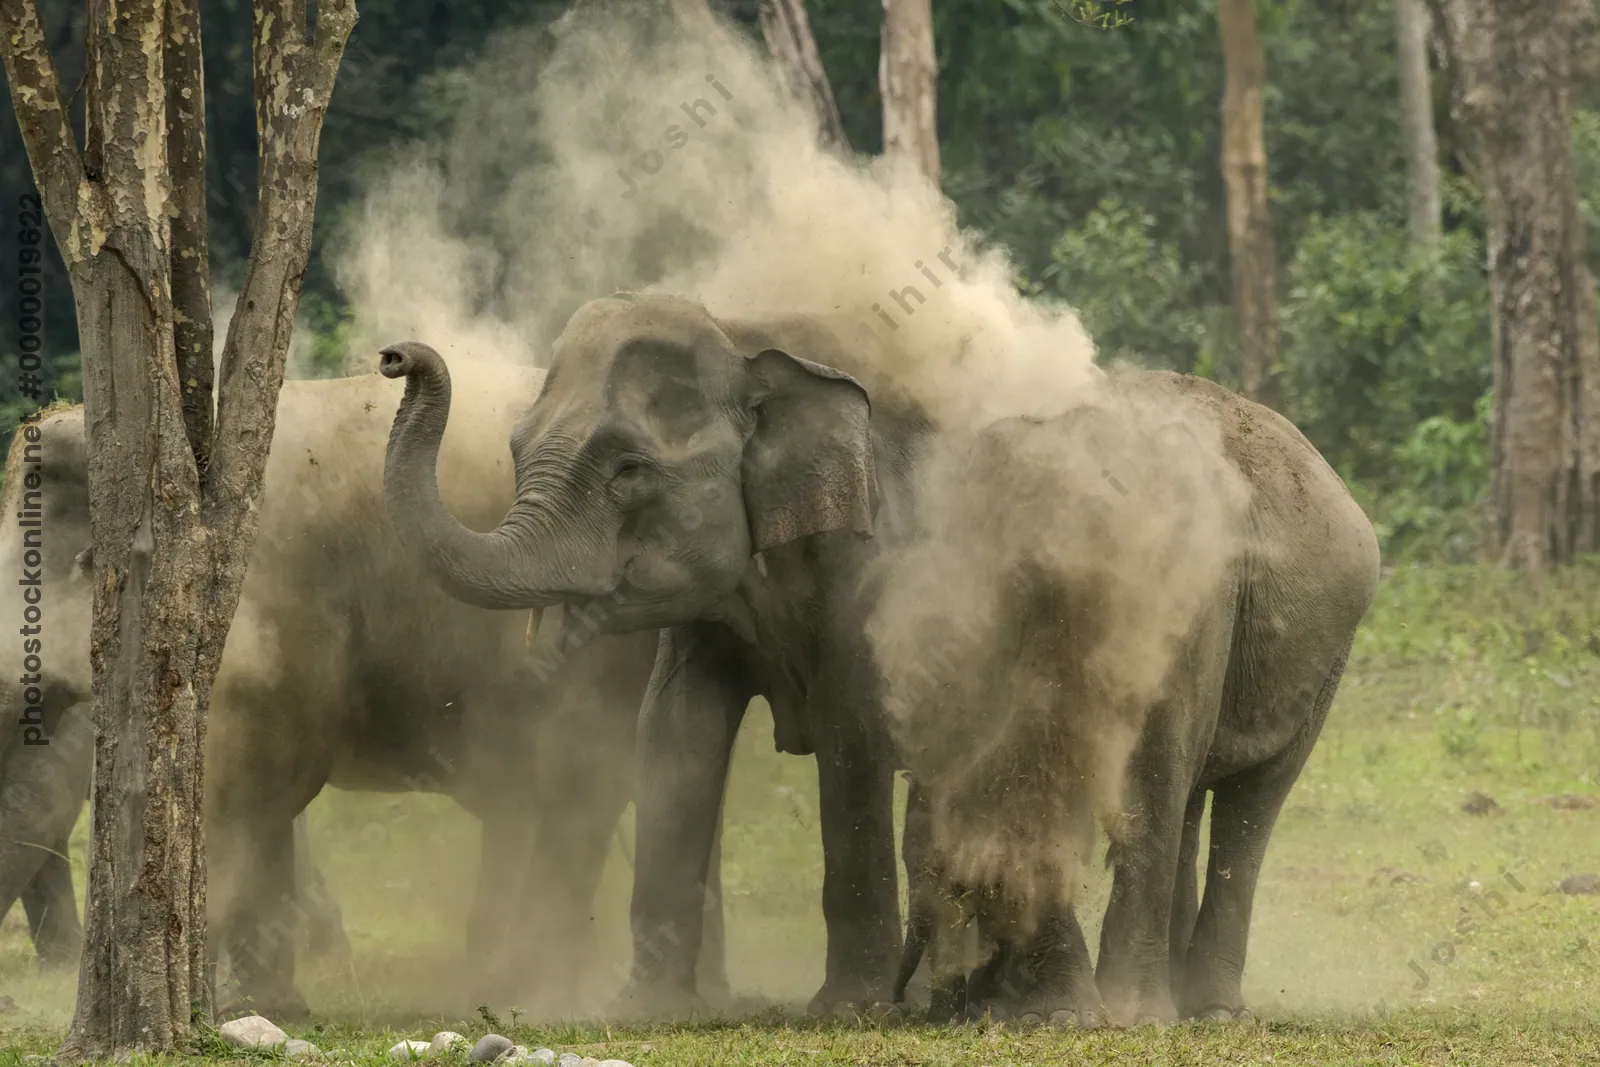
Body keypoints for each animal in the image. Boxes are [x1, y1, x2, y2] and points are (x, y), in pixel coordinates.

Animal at [377, 291, 1380, 1024]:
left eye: (629, 470)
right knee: (1188, 799)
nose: (396, 356)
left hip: (1261, 628)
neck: (760, 341)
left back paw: (1159, 1011)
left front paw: (848, 1008)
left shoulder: (882, 563)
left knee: (1203, 791)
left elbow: (854, 732)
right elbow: (675, 731)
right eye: (514, 448)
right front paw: (645, 1010)